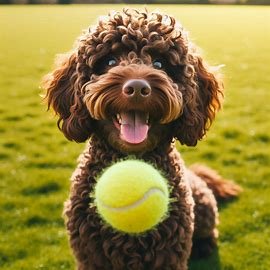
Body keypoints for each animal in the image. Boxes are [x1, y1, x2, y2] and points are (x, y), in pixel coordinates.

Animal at [43, 8, 242, 270]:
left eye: (160, 63)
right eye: (109, 61)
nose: (137, 88)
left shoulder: (170, 255)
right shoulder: (90, 254)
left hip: (205, 206)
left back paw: (203, 246)